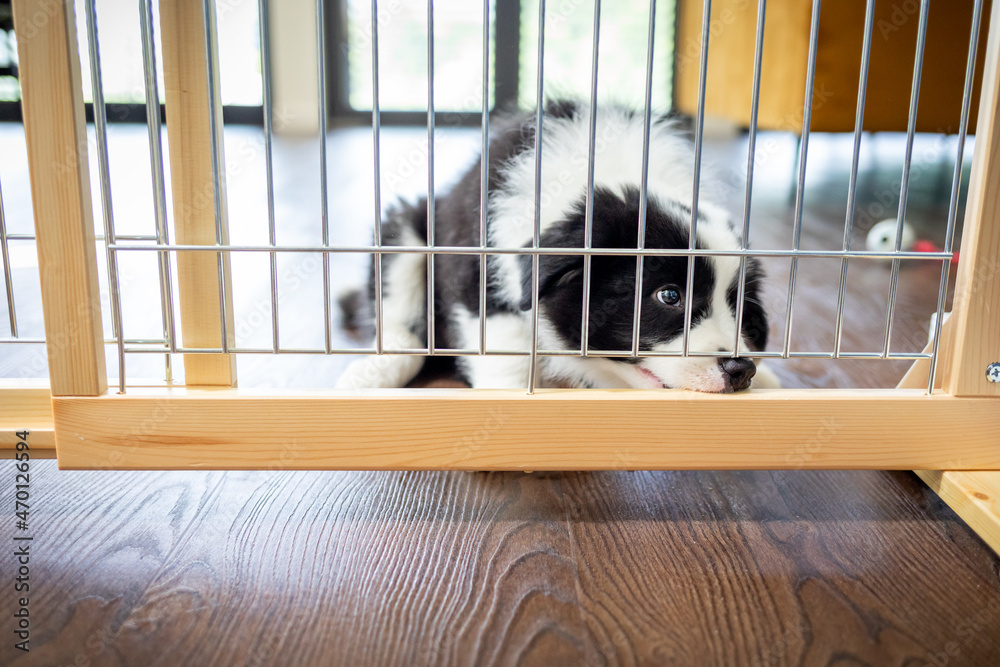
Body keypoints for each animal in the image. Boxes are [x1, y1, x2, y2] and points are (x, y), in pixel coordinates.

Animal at [340, 99, 776, 392]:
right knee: (400, 319)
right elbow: (505, 347)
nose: (740, 370)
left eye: (740, 305)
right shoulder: (481, 271)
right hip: (407, 228)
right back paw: (371, 372)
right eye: (669, 296)